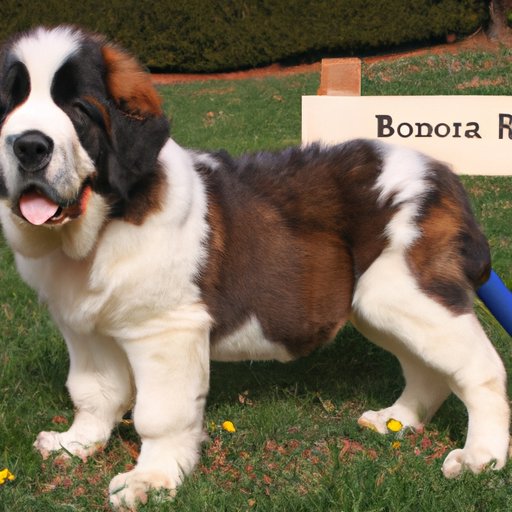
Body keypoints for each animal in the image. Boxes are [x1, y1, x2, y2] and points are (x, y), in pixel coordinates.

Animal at [0, 26, 509, 509]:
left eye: (78, 111)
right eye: (9, 107)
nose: (29, 147)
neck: (102, 223)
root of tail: (442, 173)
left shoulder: (165, 329)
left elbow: (159, 414)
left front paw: (151, 479)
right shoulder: (86, 328)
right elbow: (93, 392)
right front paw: (76, 444)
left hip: (404, 292)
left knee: (481, 369)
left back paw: (481, 455)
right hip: (378, 304)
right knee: (427, 367)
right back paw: (398, 420)